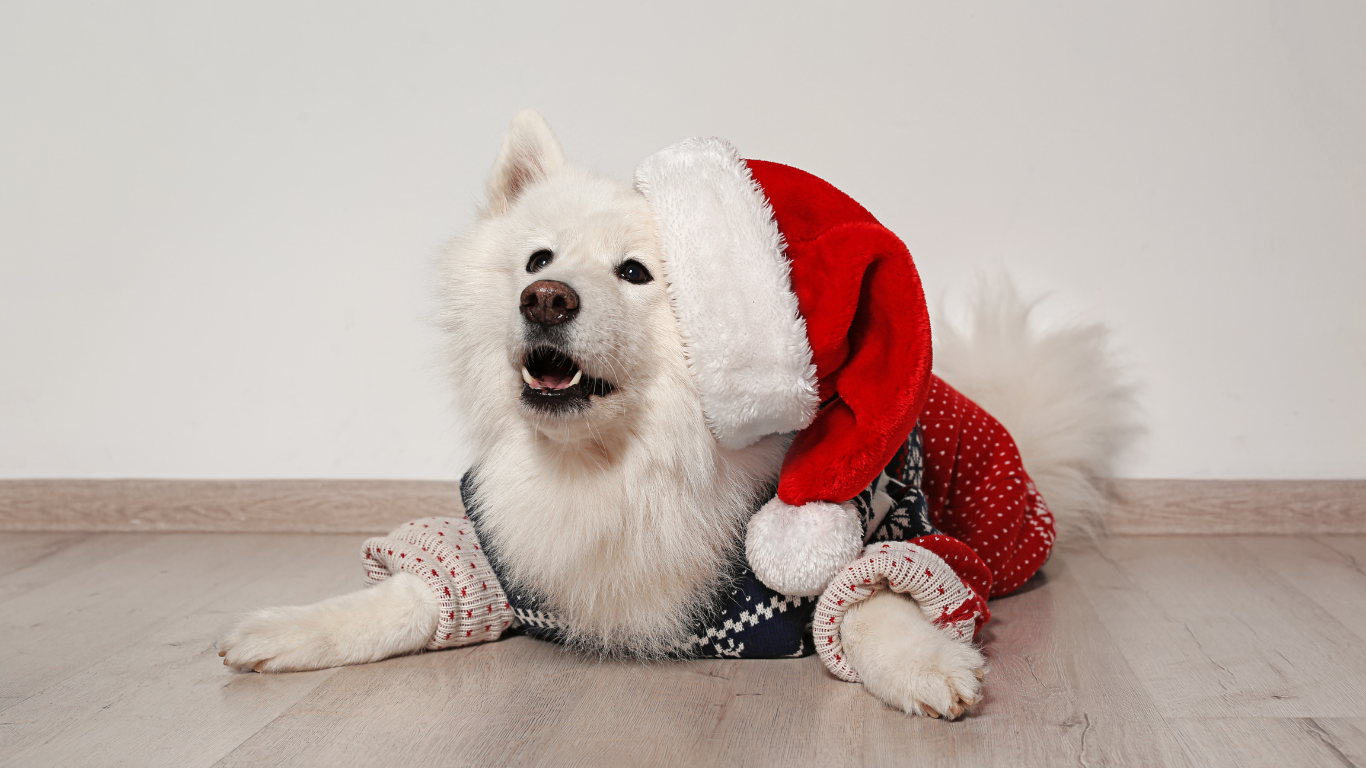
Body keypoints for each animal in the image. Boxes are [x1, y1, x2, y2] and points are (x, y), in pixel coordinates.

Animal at [215, 109, 1131, 716]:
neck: (618, 468)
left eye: (634, 273)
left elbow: (874, 599)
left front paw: (926, 666)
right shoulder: (499, 559)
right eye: (538, 259)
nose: (544, 299)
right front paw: (290, 630)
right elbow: (403, 598)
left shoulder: (886, 530)